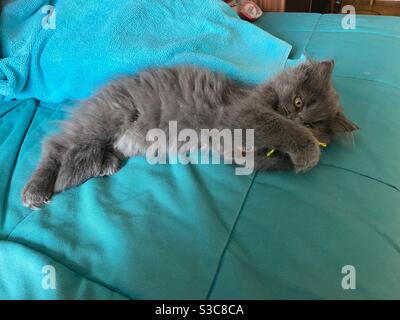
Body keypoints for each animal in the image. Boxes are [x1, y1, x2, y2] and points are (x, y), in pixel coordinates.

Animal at [21, 61, 360, 209]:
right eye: (299, 102)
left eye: (315, 124)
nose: (296, 117)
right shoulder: (244, 115)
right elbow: (278, 127)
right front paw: (307, 153)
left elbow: (261, 159)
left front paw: (289, 156)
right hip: (107, 118)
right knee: (56, 146)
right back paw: (35, 191)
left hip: (119, 140)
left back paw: (105, 164)